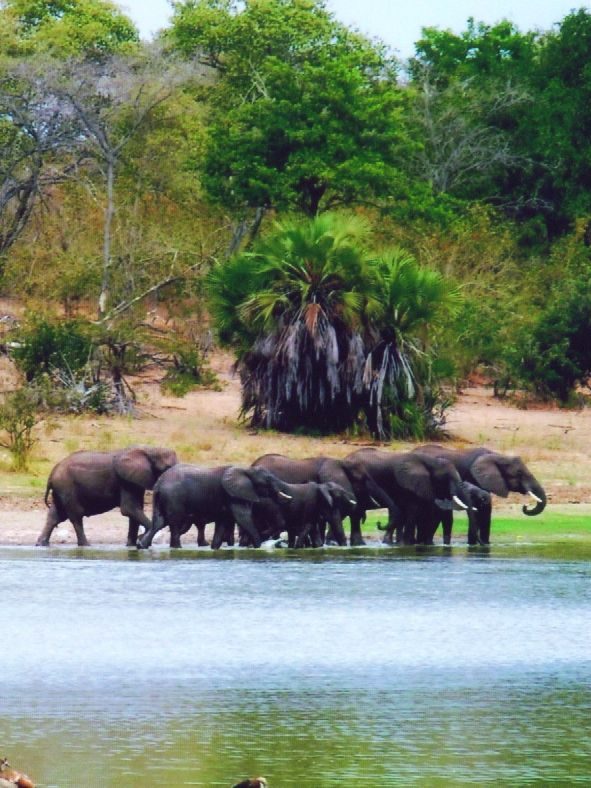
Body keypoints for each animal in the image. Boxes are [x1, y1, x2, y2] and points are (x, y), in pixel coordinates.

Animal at [36, 445, 178, 547]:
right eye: (167, 467)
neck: (149, 450)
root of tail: (51, 474)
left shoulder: (135, 481)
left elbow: (134, 511)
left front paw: (131, 546)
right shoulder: (125, 480)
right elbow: (129, 509)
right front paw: (142, 538)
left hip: (60, 489)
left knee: (55, 516)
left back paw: (41, 544)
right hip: (66, 486)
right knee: (76, 515)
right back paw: (86, 545)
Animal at [137, 464, 293, 549]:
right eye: (268, 480)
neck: (246, 469)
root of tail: (159, 483)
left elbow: (223, 521)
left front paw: (214, 548)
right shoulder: (233, 494)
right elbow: (243, 517)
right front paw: (258, 547)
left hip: (163, 498)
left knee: (159, 522)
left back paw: (141, 546)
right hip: (174, 497)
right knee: (174, 522)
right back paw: (176, 548)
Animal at [415, 445, 547, 544]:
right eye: (519, 473)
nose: (525, 506)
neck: (498, 456)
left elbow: (486, 508)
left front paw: (485, 544)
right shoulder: (473, 476)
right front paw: (474, 544)